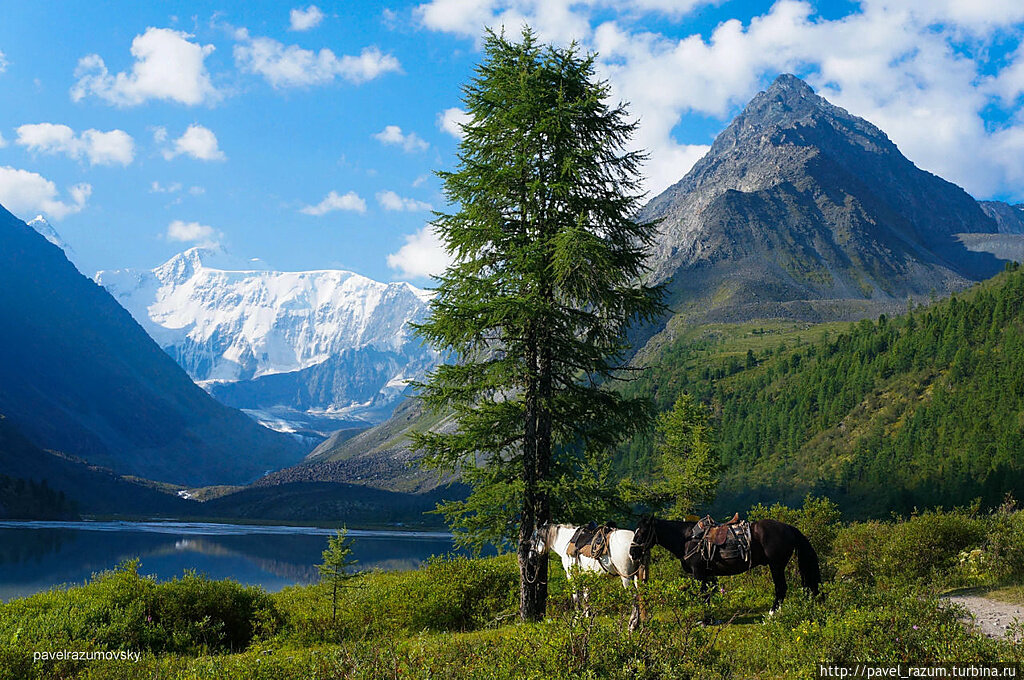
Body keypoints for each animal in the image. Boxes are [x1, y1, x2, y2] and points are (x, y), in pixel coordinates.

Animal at [630, 518, 823, 614]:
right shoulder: (706, 574)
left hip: (776, 565)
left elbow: (703, 595)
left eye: (643, 532)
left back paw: (772, 612)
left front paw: (704, 620)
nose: (632, 552)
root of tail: (789, 528)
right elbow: (707, 595)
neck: (687, 539)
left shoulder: (698, 572)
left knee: (781, 588)